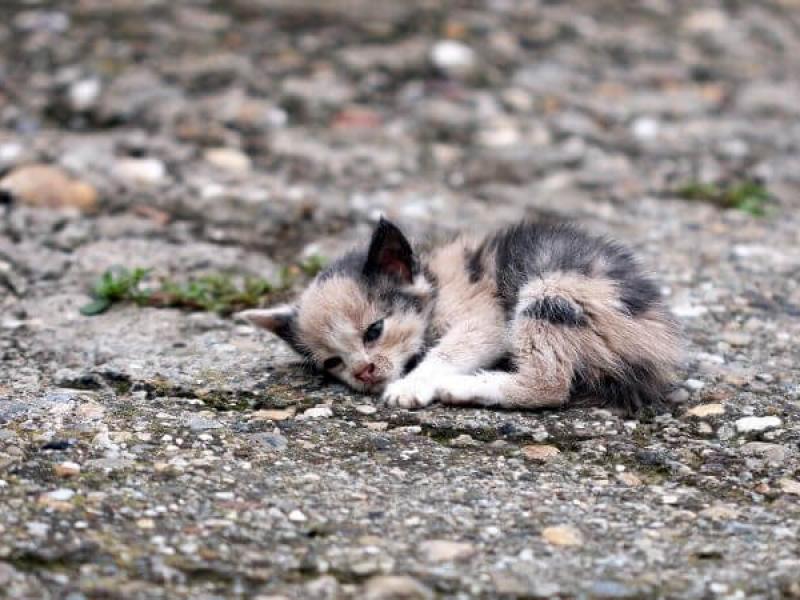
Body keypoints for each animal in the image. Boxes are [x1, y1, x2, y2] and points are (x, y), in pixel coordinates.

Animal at [241, 219, 680, 412]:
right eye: (333, 362)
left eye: (374, 330)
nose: (364, 372)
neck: (434, 283)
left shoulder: (484, 319)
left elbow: (448, 351)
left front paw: (412, 385)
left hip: (551, 290)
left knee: (549, 385)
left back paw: (460, 386)